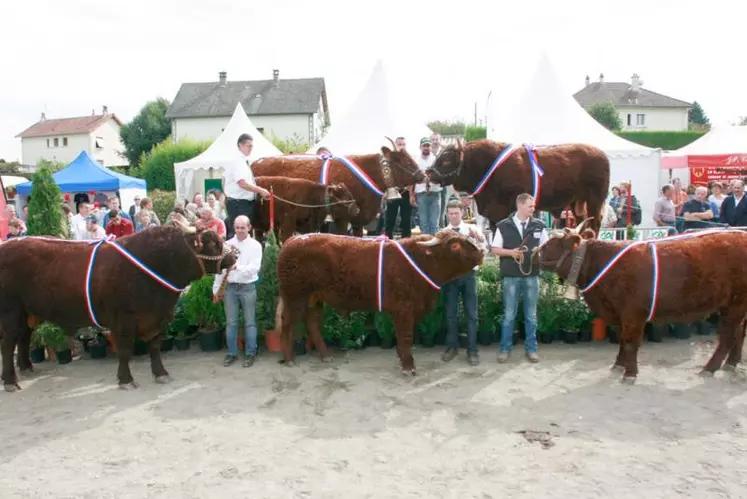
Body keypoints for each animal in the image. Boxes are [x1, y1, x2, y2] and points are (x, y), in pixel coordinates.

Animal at [0, 225, 235, 392]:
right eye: (213, 243)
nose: (234, 256)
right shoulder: (123, 319)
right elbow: (125, 349)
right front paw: (126, 379)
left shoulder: (158, 318)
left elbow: (155, 347)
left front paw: (160, 373)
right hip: (11, 311)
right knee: (8, 343)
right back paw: (11, 381)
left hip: (27, 312)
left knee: (23, 338)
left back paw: (26, 369)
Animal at [274, 229, 486, 374]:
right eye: (455, 245)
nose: (483, 251)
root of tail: (293, 239)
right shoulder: (404, 309)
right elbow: (406, 337)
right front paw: (408, 366)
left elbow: (404, 337)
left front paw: (402, 358)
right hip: (295, 297)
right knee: (287, 324)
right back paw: (290, 359)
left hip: (314, 298)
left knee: (312, 322)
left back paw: (325, 356)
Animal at [426, 139, 612, 236]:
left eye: (446, 159)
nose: (428, 172)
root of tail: (601, 154)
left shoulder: (501, 210)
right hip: (577, 203)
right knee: (583, 222)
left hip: (594, 200)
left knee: (594, 223)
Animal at [540, 225, 747, 384]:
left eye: (550, 245)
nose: (534, 252)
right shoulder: (618, 312)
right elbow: (622, 340)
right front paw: (618, 365)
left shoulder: (632, 313)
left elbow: (631, 342)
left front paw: (630, 373)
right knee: (740, 332)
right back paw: (731, 363)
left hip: (735, 304)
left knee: (728, 336)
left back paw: (710, 368)